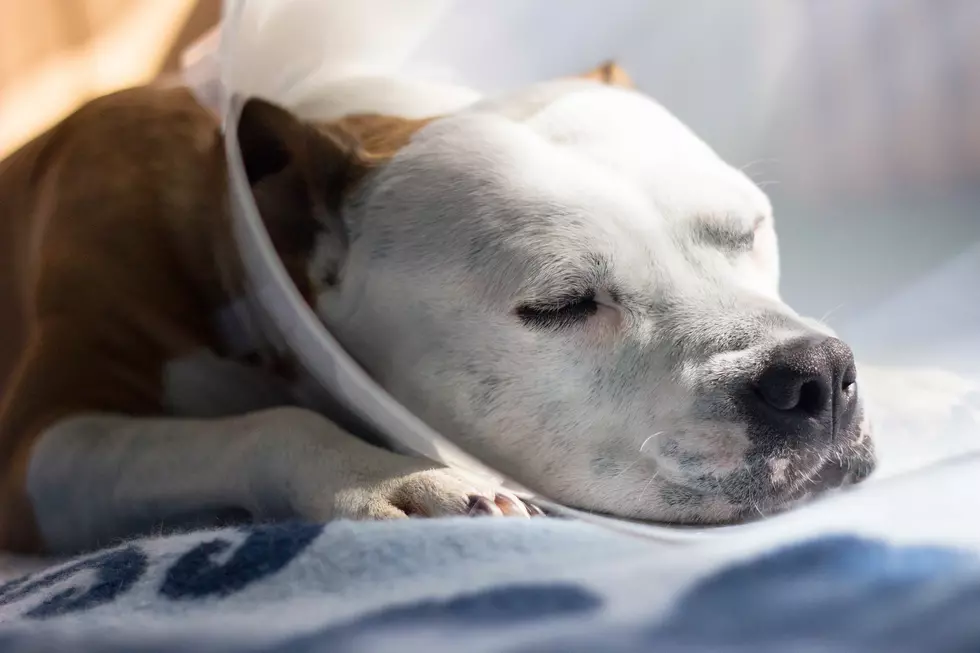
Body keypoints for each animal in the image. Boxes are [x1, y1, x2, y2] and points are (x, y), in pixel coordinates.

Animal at [0, 63, 872, 556]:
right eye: (562, 303)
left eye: (747, 230)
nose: (815, 376)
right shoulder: (39, 449)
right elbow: (269, 423)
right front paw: (396, 479)